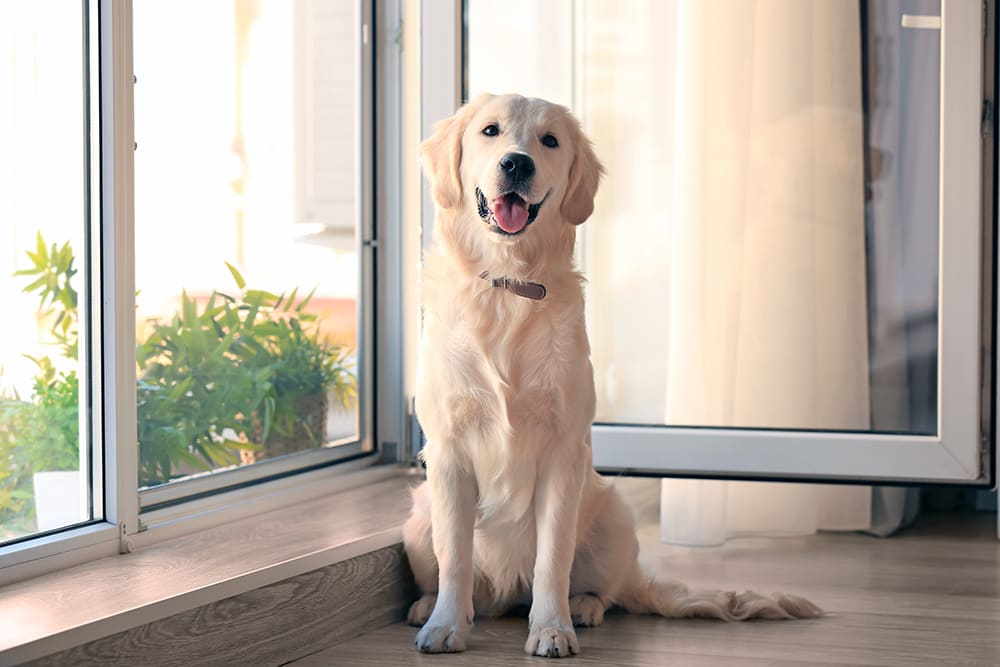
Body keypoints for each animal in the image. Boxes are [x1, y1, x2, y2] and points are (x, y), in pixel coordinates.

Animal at [402, 92, 824, 656]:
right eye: (490, 131)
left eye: (550, 140)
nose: (517, 164)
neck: (509, 285)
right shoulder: (447, 452)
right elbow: (455, 556)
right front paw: (446, 625)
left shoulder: (564, 451)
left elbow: (553, 559)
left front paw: (552, 628)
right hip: (417, 517)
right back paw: (429, 606)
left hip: (614, 517)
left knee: (607, 591)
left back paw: (582, 607)